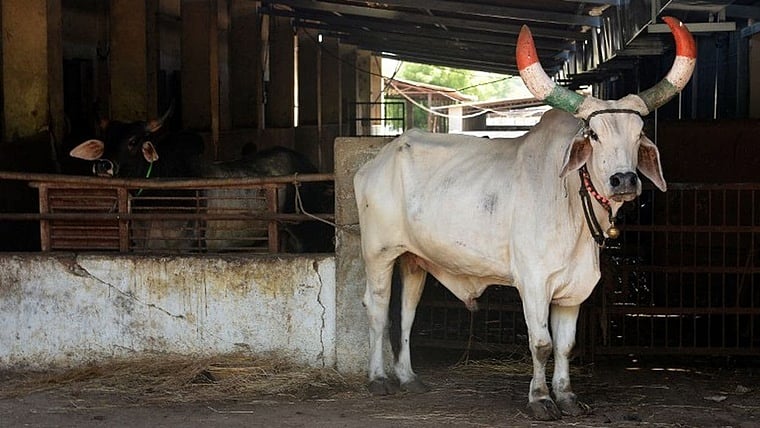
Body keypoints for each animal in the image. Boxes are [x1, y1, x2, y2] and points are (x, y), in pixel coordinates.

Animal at [353, 17, 695, 421]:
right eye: (594, 134)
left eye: (638, 133)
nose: (624, 180)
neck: (573, 207)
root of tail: (377, 160)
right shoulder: (533, 284)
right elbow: (542, 343)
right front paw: (541, 399)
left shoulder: (574, 290)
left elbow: (565, 346)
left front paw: (567, 396)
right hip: (379, 252)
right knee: (377, 309)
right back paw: (378, 379)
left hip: (413, 259)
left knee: (407, 311)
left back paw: (408, 377)